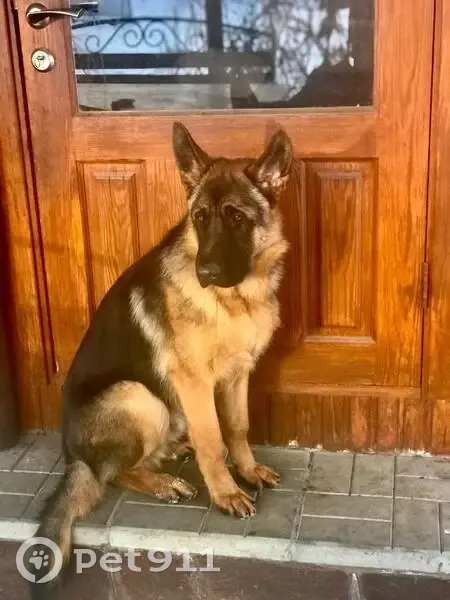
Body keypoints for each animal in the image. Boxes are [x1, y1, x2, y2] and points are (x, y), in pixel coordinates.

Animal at [29, 122, 292, 597]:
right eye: (199, 218)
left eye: (237, 218)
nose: (206, 274)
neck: (232, 300)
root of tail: (72, 455)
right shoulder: (194, 382)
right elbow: (213, 441)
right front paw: (225, 491)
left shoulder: (238, 375)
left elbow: (237, 428)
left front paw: (246, 470)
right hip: (138, 395)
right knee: (111, 473)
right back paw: (162, 481)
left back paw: (171, 451)